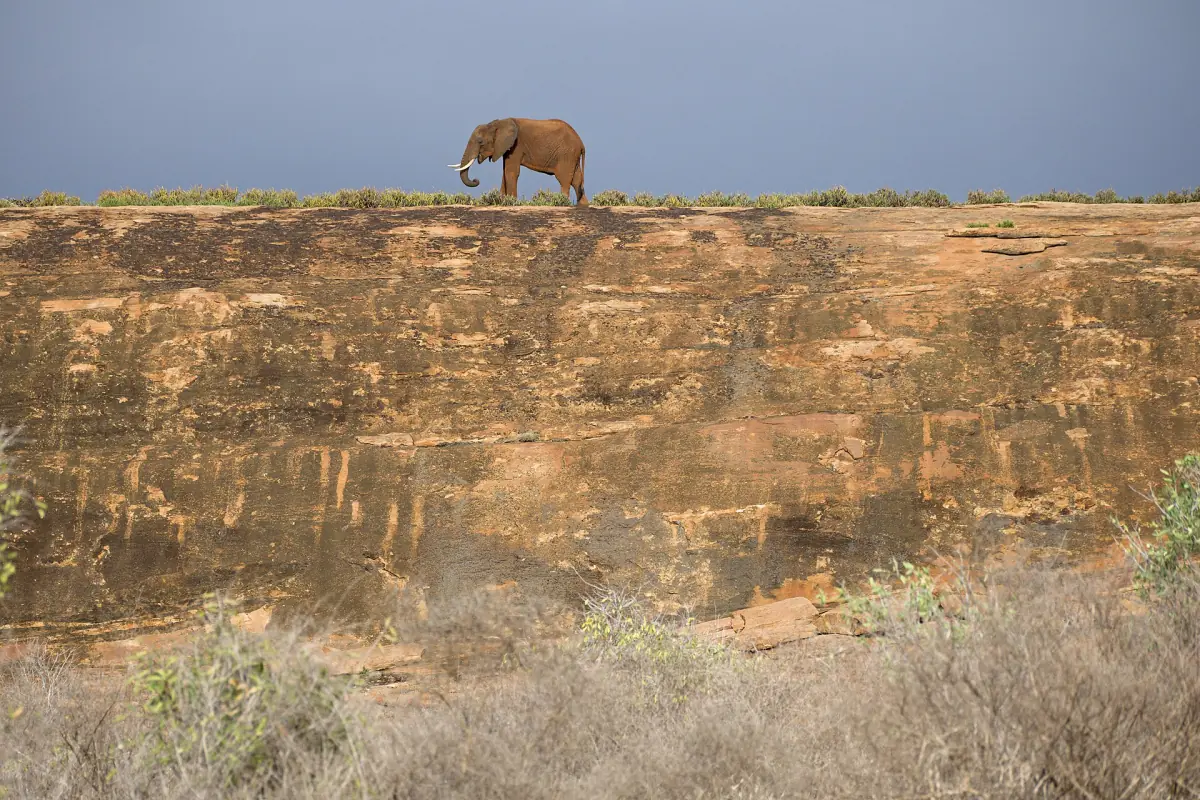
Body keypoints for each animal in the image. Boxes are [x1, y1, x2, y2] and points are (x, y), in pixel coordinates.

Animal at [448, 117, 588, 206]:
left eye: (480, 141)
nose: (476, 180)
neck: (497, 124)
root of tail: (581, 143)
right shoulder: (506, 148)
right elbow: (505, 173)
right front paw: (502, 201)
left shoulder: (516, 146)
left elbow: (511, 172)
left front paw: (511, 202)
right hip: (572, 156)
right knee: (577, 181)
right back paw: (583, 205)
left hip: (566, 154)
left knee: (564, 179)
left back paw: (563, 202)